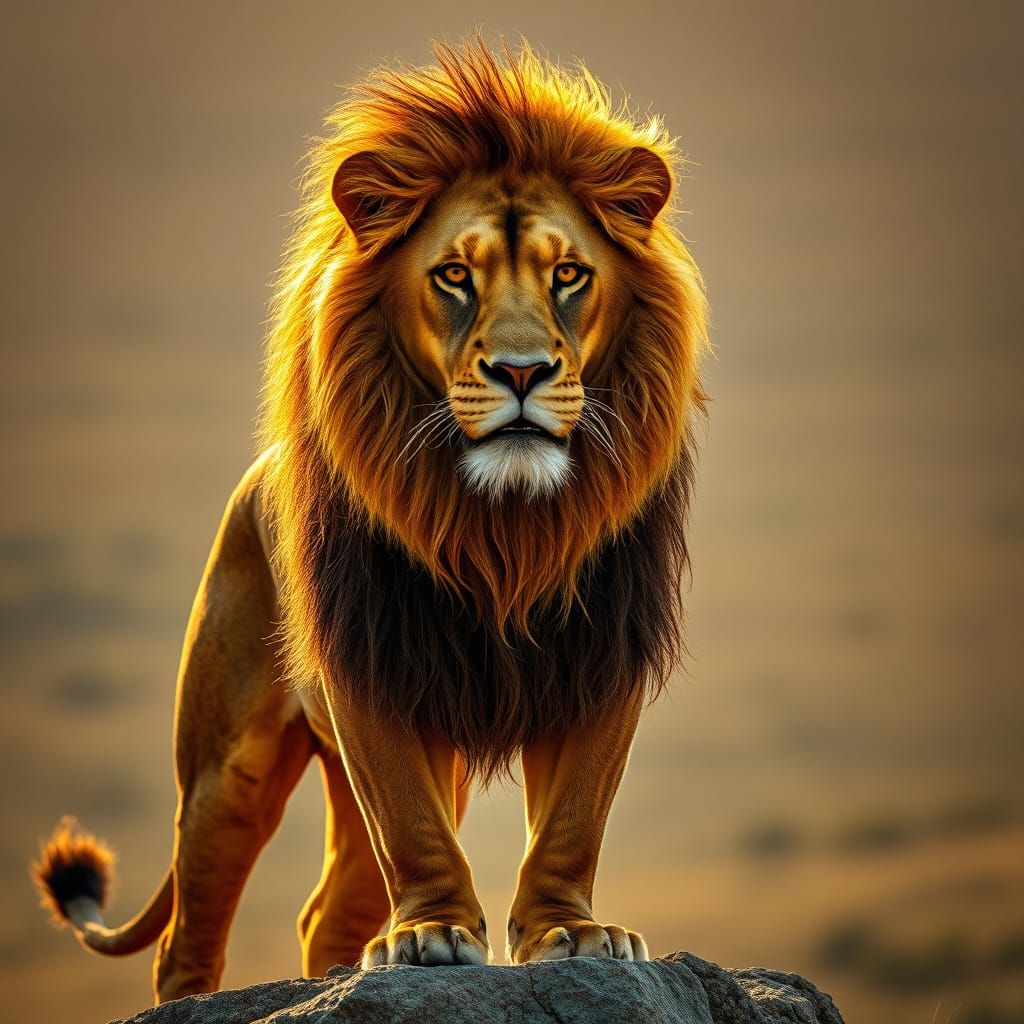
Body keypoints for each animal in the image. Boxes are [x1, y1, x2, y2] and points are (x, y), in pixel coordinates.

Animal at [33, 39, 708, 1003]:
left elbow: (574, 818)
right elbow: (411, 821)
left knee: (329, 913)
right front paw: (427, 935)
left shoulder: (603, 657)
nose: (522, 372)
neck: (503, 525)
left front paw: (571, 934)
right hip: (226, 771)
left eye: (569, 274)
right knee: (188, 931)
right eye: (454, 275)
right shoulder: (372, 661)